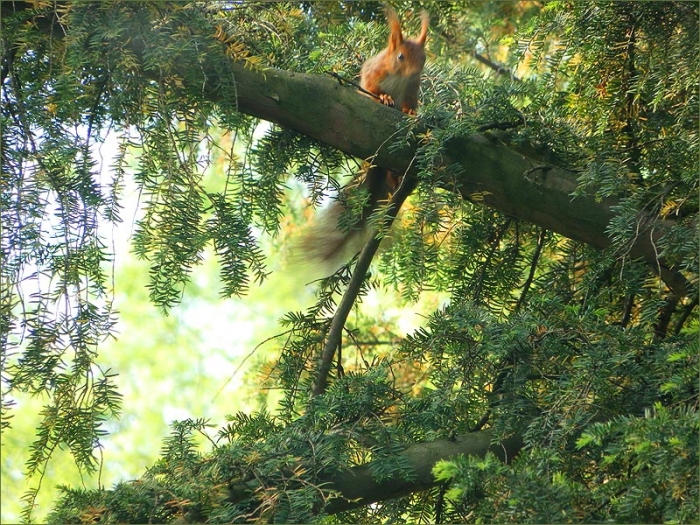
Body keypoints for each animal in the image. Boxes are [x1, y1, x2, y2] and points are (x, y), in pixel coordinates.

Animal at [297, 7, 429, 272]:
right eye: (401, 56)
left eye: (424, 59)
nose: (414, 73)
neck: (400, 78)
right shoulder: (373, 74)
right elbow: (371, 89)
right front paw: (385, 98)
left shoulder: (412, 89)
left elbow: (410, 105)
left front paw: (410, 112)